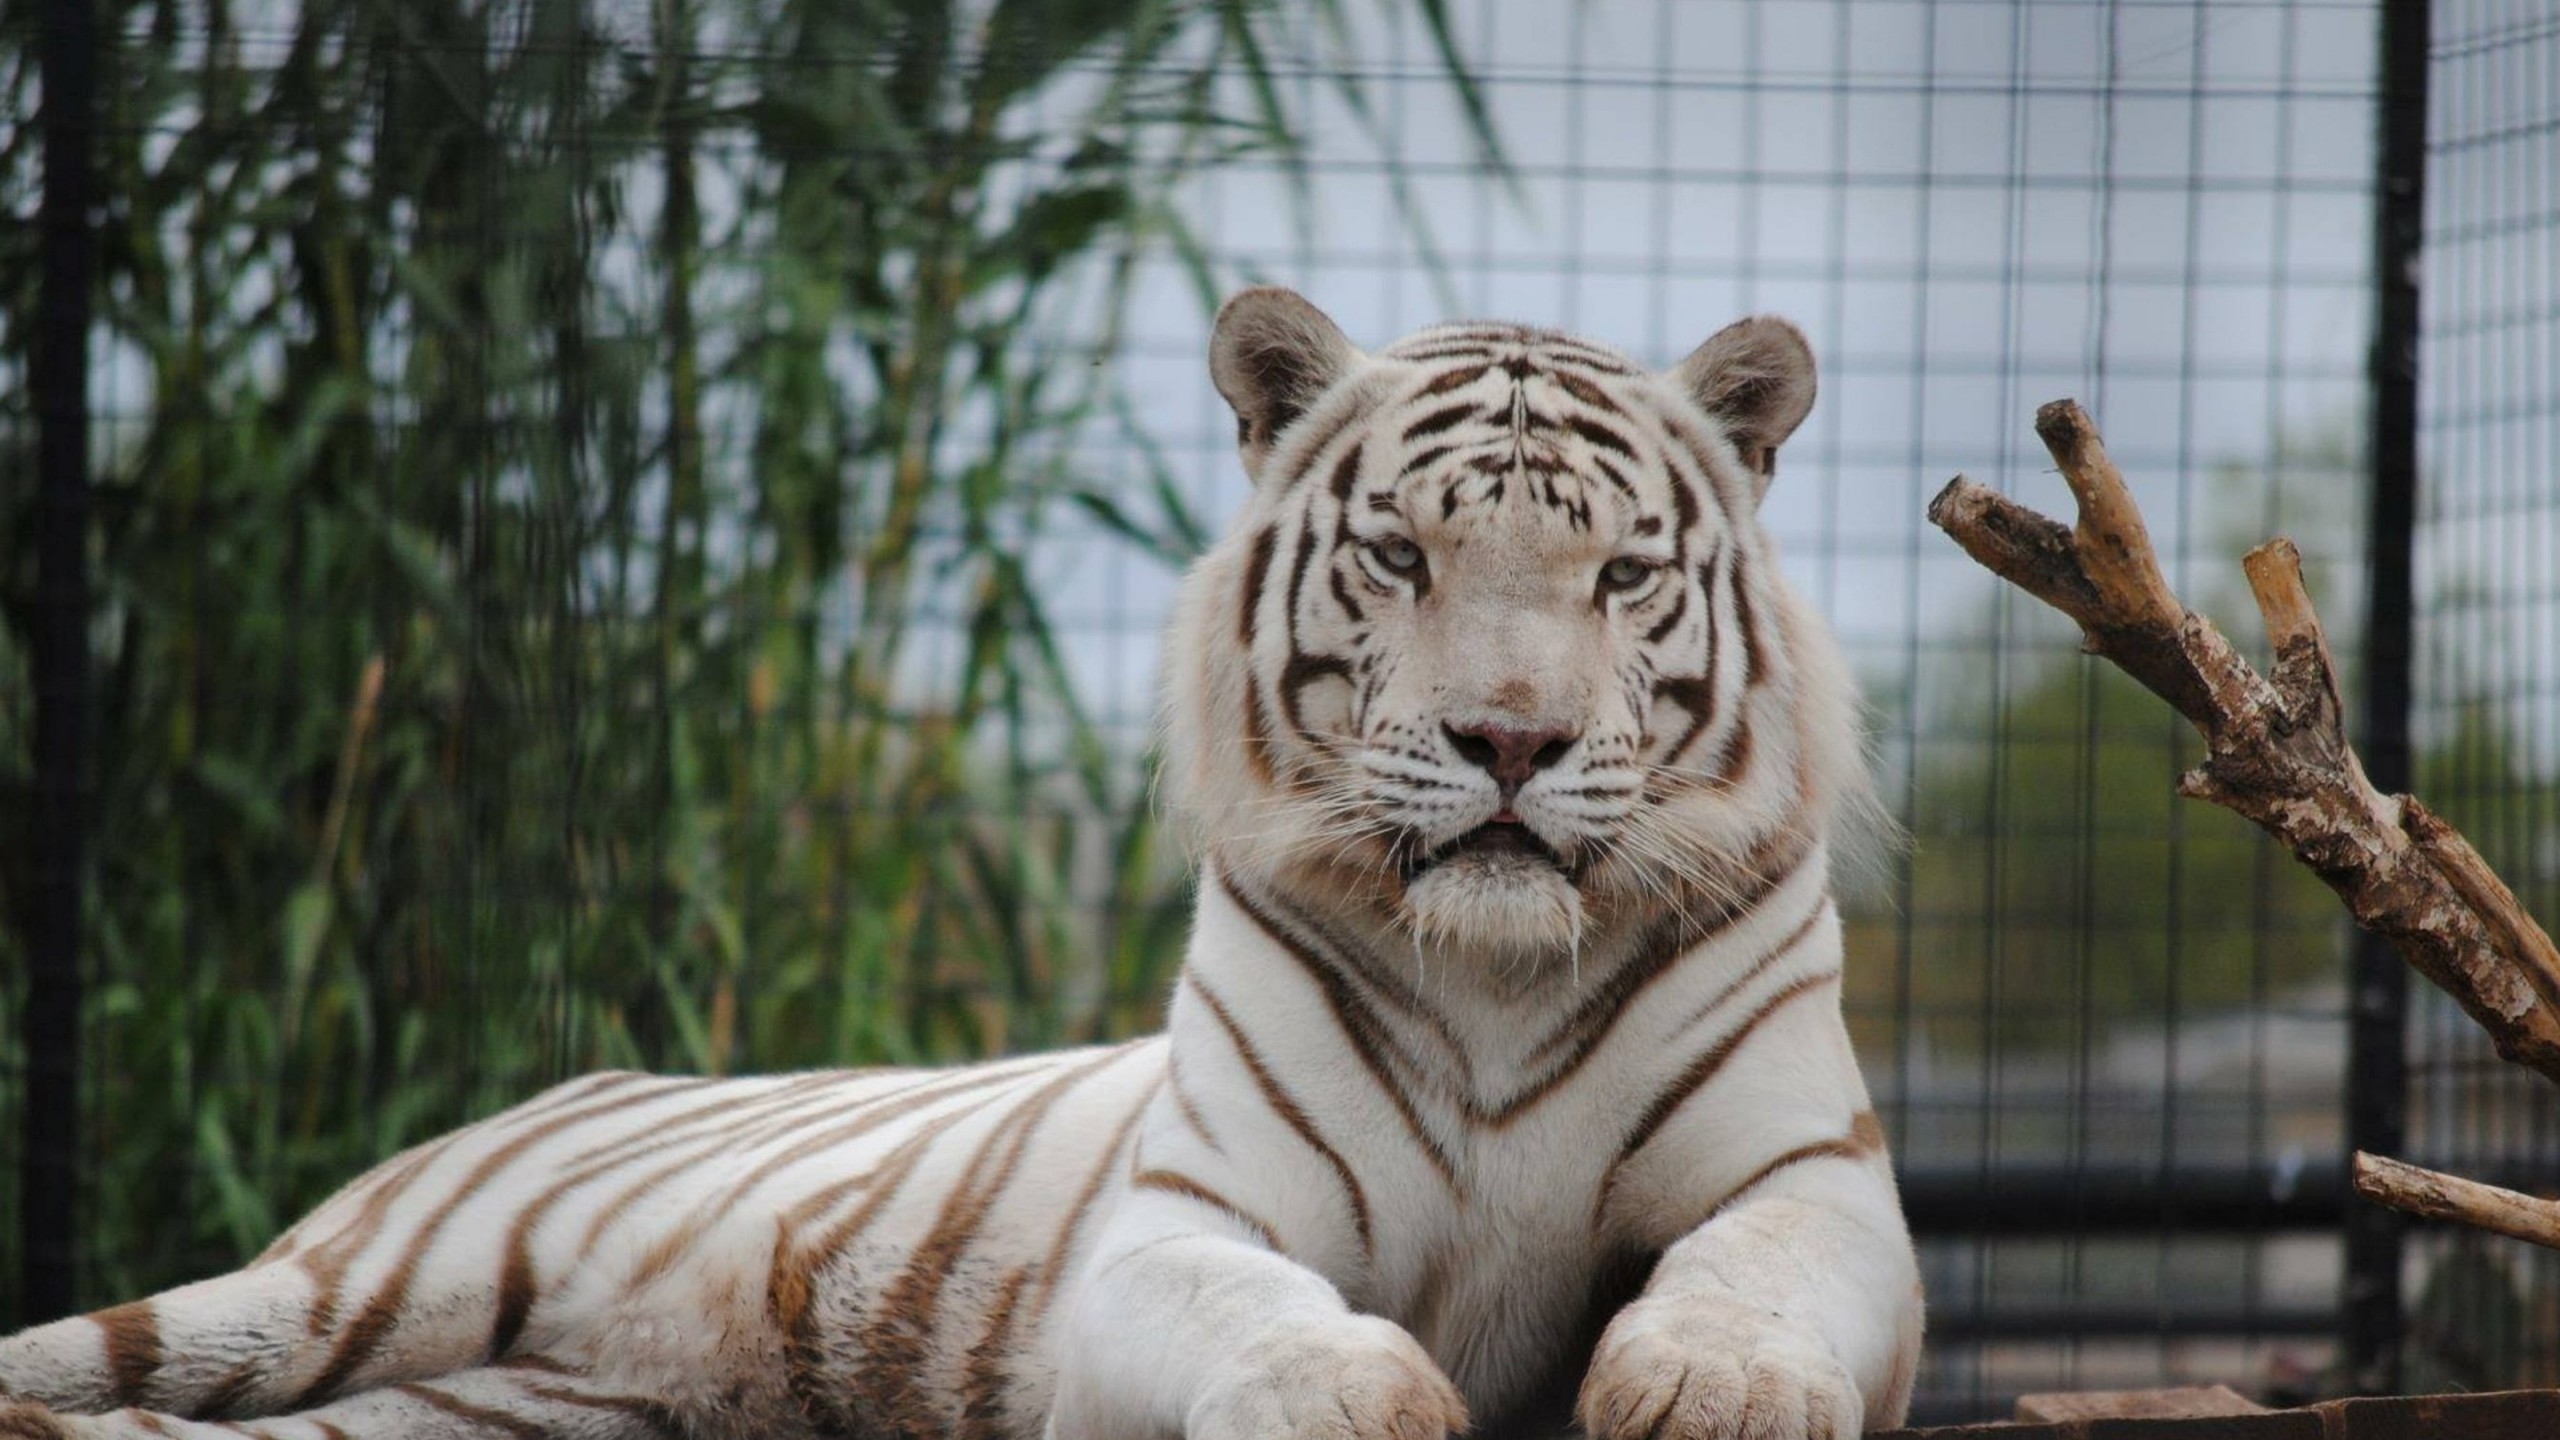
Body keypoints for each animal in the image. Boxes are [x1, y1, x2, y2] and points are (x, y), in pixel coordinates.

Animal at [0, 288, 1922, 1440]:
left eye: (1620, 576)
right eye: (1398, 555)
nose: (1507, 743)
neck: (1499, 968)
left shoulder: (1812, 1179)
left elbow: (1756, 1278)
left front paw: (1711, 1393)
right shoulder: (1185, 1220)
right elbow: (1266, 1317)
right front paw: (1368, 1399)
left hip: (504, 1405)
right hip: (367, 1283)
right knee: (110, 1357)